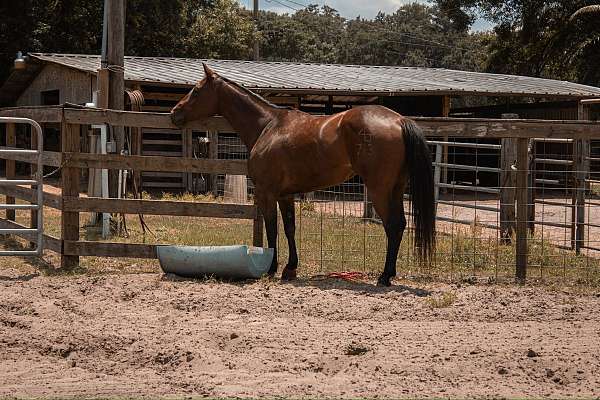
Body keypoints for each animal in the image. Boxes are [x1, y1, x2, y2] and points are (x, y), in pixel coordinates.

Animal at [171, 64, 434, 286]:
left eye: (196, 91)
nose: (174, 113)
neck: (269, 125)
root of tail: (399, 120)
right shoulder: (285, 195)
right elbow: (289, 228)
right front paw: (290, 269)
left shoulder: (267, 193)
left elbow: (272, 229)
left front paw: (271, 269)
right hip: (396, 189)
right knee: (400, 225)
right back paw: (389, 274)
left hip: (380, 191)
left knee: (392, 226)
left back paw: (384, 276)